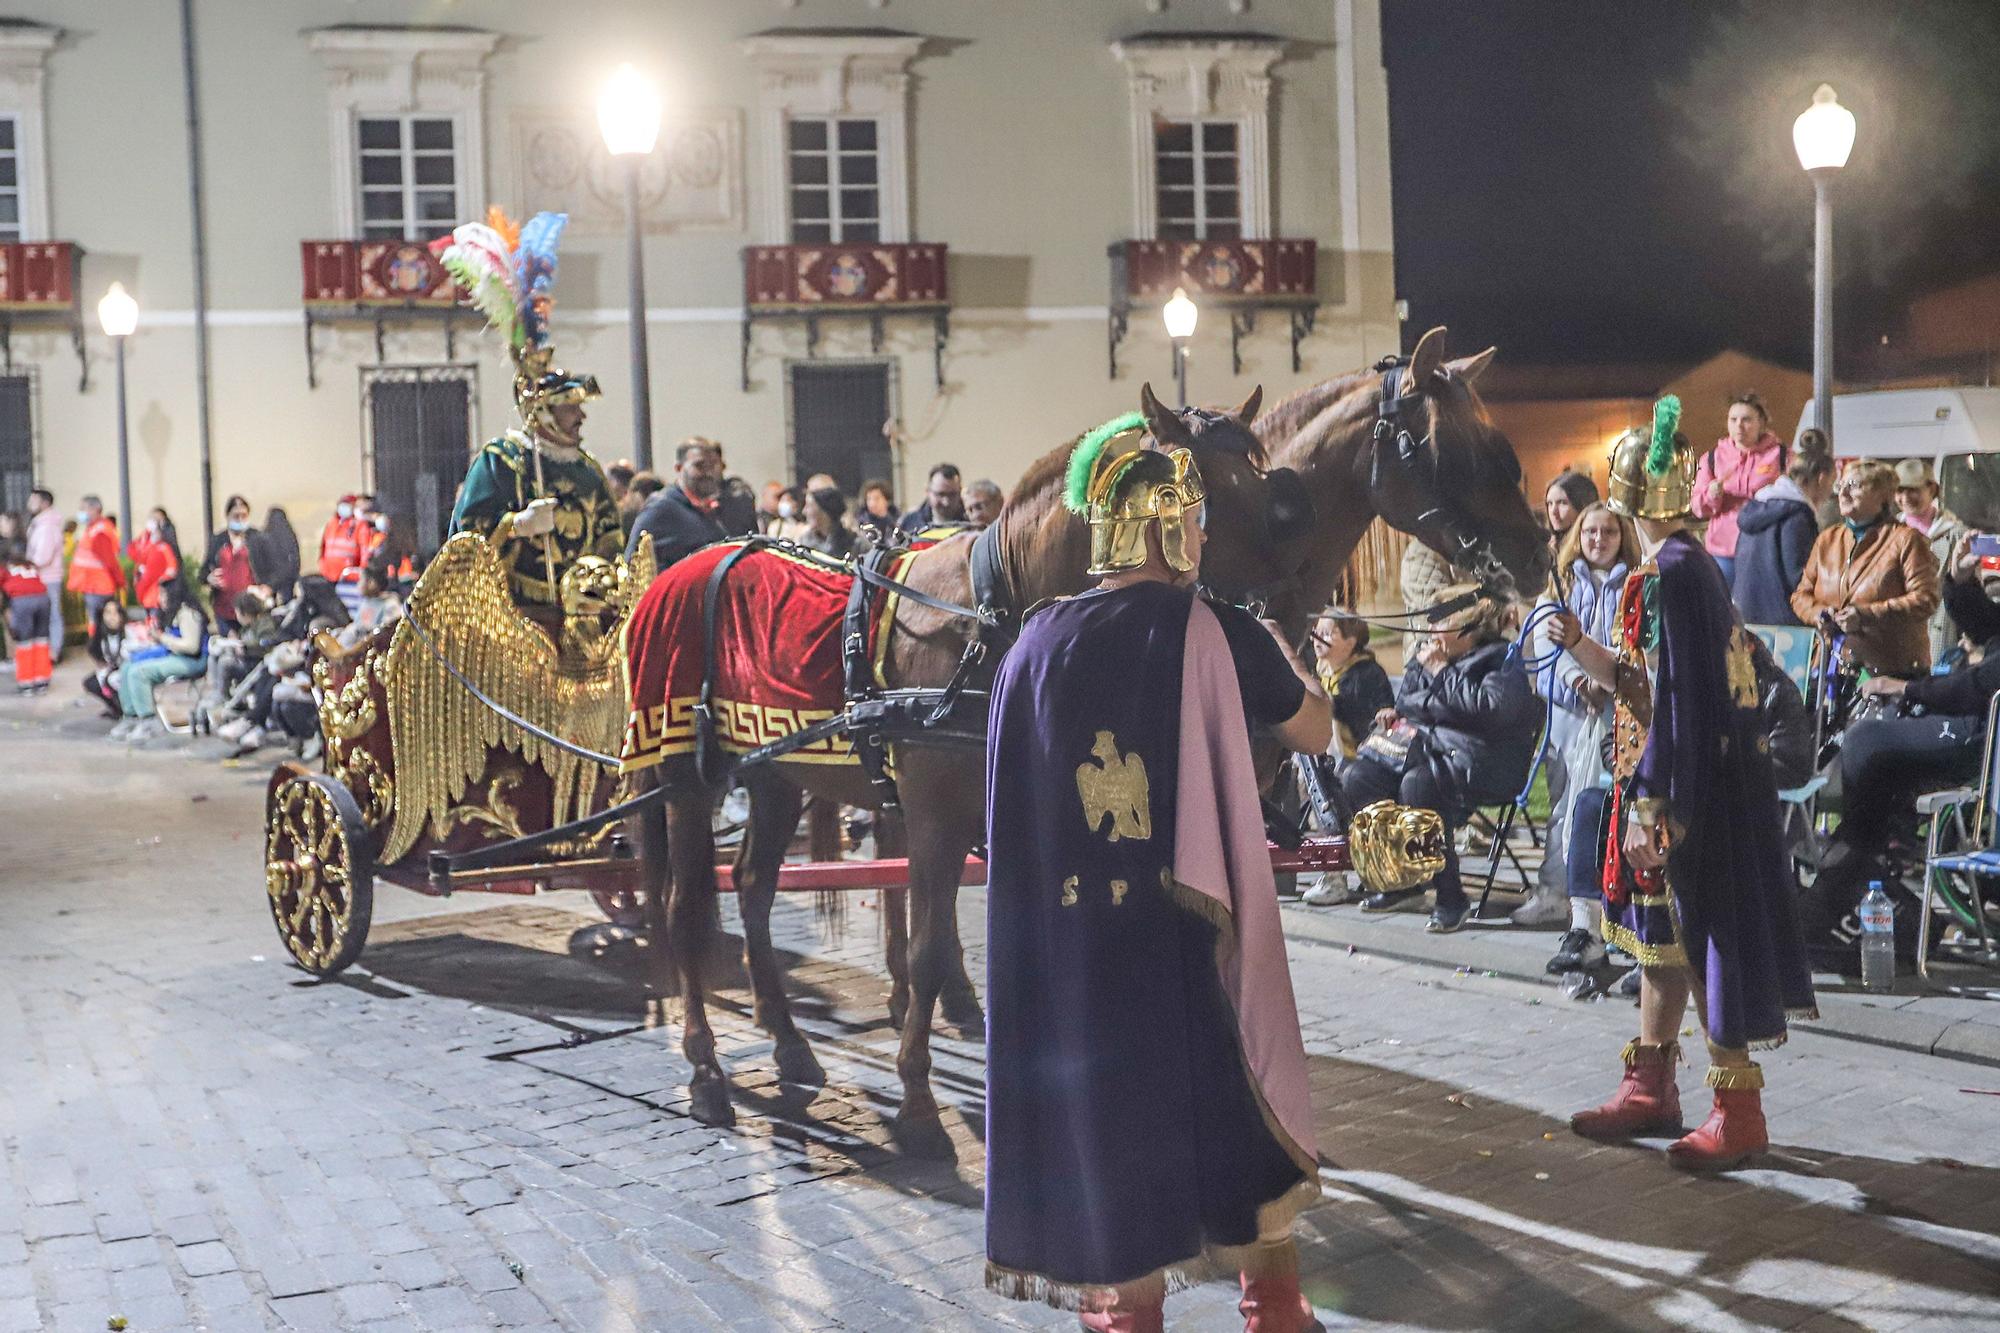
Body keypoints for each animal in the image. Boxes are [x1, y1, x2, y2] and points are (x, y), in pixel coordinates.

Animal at [624, 382, 1312, 1144]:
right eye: (1201, 490)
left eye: (1262, 475)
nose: (1288, 607)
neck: (994, 612)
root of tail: (673, 574)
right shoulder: (933, 820)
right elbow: (927, 949)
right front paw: (918, 1098)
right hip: (684, 775)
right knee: (685, 907)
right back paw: (705, 1067)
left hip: (774, 774)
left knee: (752, 887)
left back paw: (787, 1039)